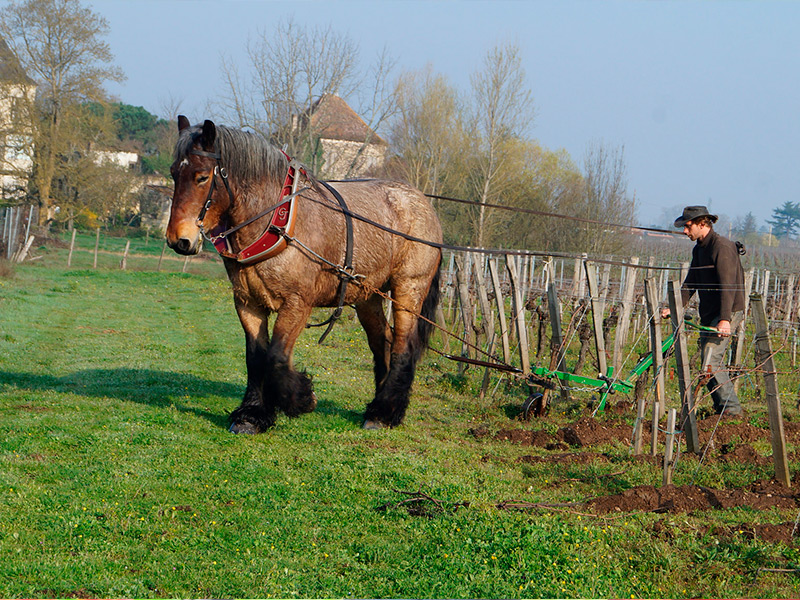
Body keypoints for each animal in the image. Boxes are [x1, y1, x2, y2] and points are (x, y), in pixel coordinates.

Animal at [165, 117, 440, 434]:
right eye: (174, 173)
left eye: (201, 177)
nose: (178, 240)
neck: (275, 223)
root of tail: (421, 201)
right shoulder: (248, 302)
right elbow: (256, 357)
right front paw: (252, 414)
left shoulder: (297, 302)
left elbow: (276, 357)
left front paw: (301, 398)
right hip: (368, 296)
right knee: (381, 341)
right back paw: (377, 408)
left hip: (408, 289)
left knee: (402, 346)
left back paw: (385, 412)